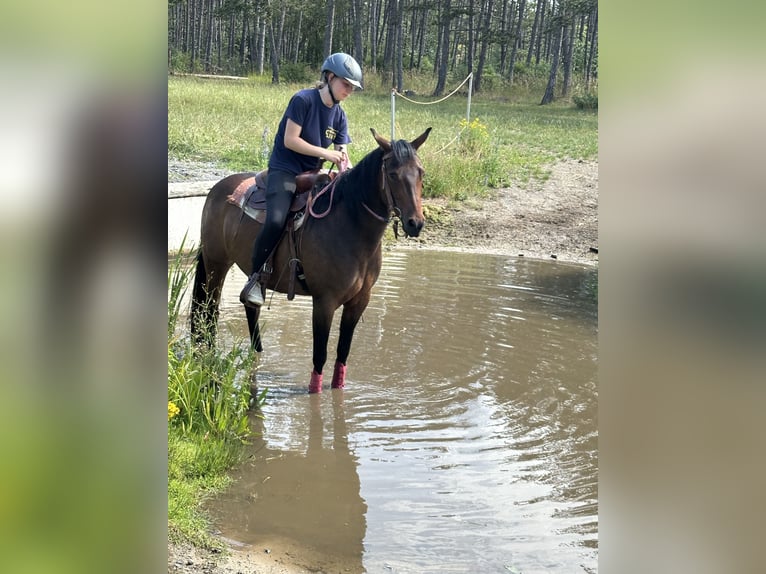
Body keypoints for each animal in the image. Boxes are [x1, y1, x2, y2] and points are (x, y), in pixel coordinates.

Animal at [190, 127, 431, 393]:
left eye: (421, 172)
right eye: (392, 174)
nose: (415, 223)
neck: (349, 225)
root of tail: (217, 188)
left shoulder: (359, 301)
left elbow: (342, 354)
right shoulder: (324, 302)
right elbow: (320, 357)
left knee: (249, 309)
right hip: (216, 264)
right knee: (209, 312)